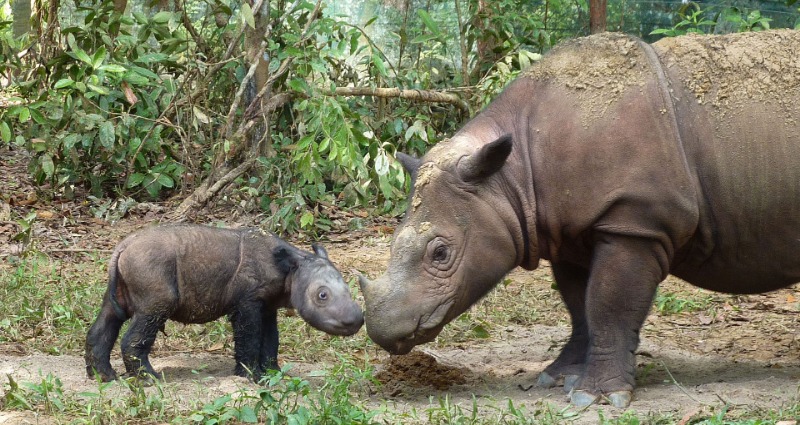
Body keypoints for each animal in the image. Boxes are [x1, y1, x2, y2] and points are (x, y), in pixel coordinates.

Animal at [85, 224, 363, 382]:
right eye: (322, 296)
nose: (357, 320)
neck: (291, 269)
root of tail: (121, 247)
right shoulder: (247, 302)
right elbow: (249, 337)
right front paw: (252, 377)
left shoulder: (267, 305)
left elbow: (271, 339)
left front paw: (274, 373)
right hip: (149, 266)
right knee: (152, 312)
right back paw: (150, 380)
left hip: (127, 271)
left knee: (110, 315)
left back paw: (104, 378)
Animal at [359, 30, 800, 407]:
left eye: (440, 253)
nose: (382, 331)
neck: (511, 176)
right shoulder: (567, 230)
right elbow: (579, 305)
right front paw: (559, 377)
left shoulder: (635, 221)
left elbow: (608, 303)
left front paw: (598, 397)